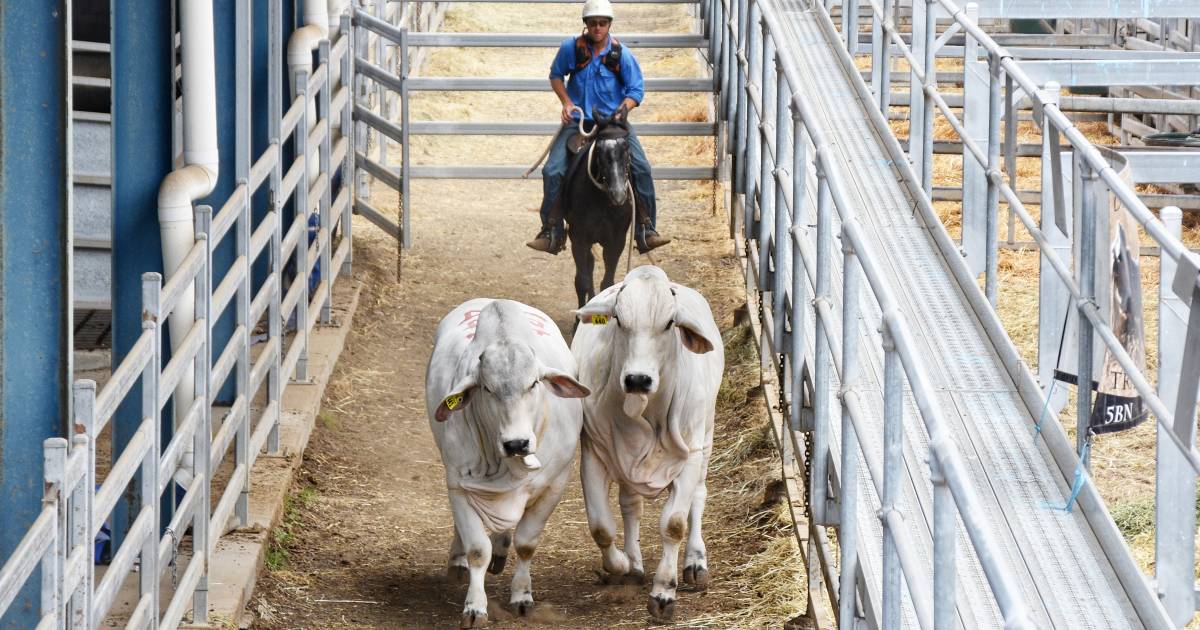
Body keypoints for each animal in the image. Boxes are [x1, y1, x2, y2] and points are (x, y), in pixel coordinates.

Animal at [559, 108, 638, 309]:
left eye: (627, 148)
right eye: (600, 151)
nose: (618, 194)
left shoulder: (616, 241)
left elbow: (607, 283)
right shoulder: (578, 239)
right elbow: (582, 281)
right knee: (589, 266)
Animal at [568, 264, 720, 619]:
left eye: (669, 323)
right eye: (619, 320)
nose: (638, 379)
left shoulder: (689, 456)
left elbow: (674, 524)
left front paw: (664, 593)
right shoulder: (594, 453)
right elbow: (601, 526)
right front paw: (623, 565)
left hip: (706, 437)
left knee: (699, 496)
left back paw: (695, 562)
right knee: (630, 505)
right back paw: (635, 563)